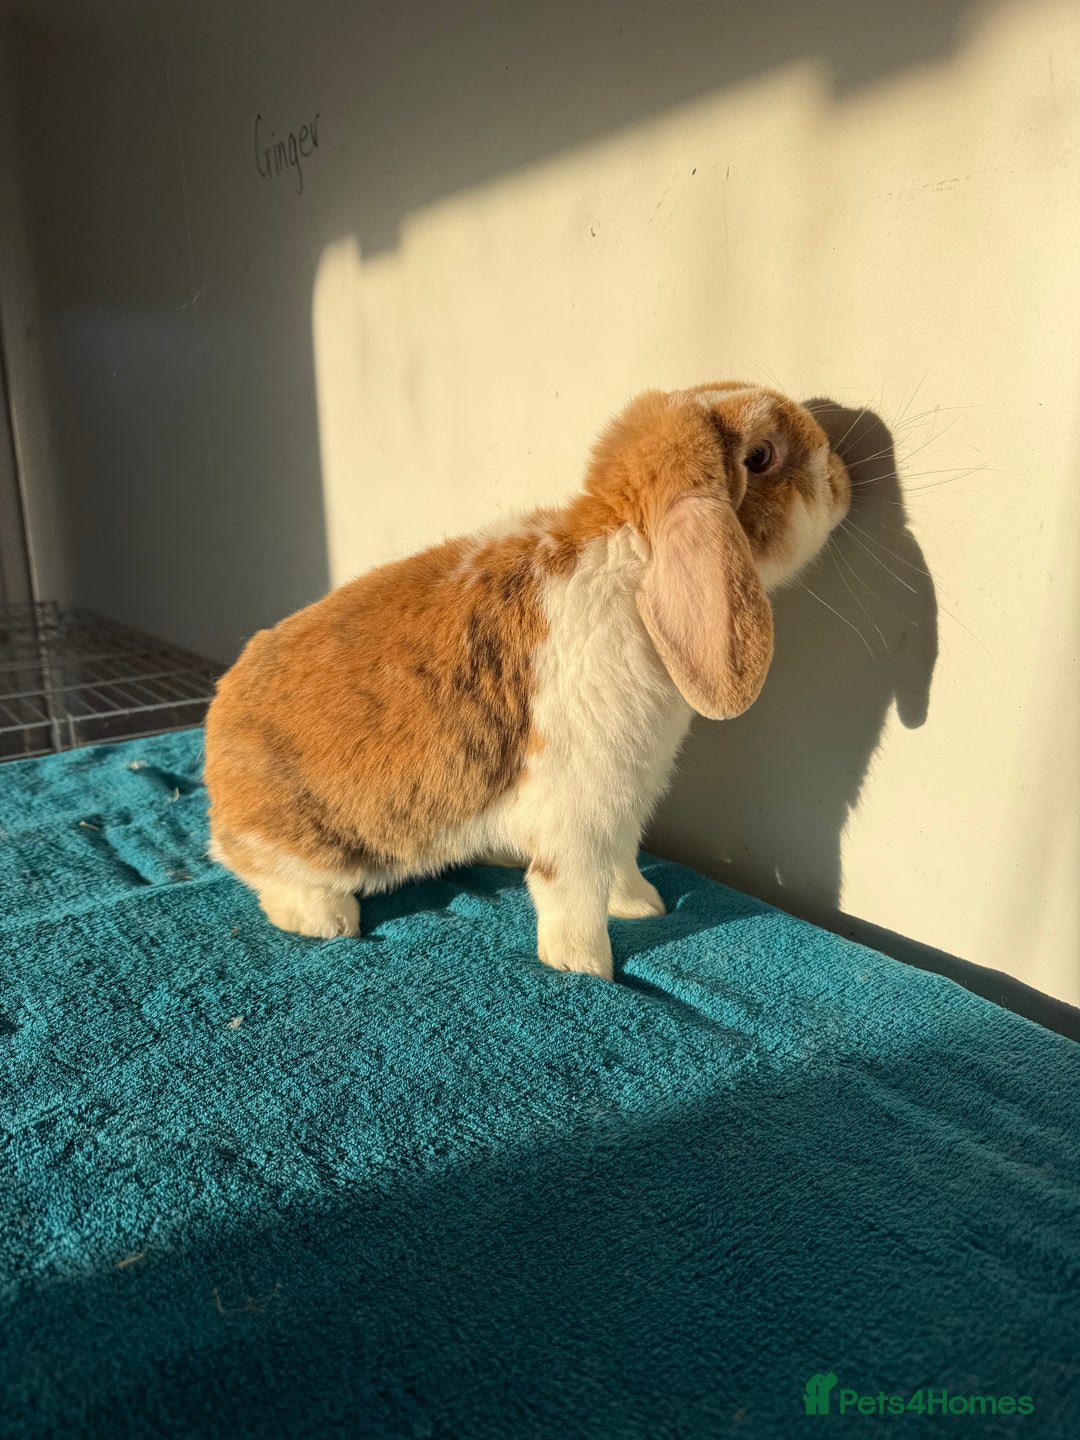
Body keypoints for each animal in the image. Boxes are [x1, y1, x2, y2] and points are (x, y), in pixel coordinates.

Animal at [204, 382, 851, 980]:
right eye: (761, 456)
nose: (842, 475)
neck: (630, 559)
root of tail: (214, 749)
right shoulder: (581, 805)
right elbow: (572, 893)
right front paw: (586, 969)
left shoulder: (624, 802)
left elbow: (622, 864)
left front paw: (645, 908)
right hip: (306, 844)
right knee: (268, 880)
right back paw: (328, 920)